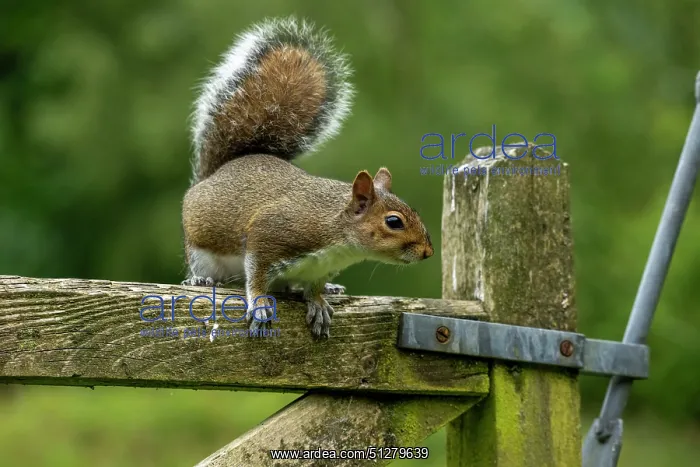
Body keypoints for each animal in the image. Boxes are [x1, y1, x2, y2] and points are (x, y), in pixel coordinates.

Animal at [181, 17, 433, 338]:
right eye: (394, 222)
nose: (427, 251)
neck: (338, 237)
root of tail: (215, 174)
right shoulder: (269, 234)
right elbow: (257, 276)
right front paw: (260, 304)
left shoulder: (318, 268)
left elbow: (314, 287)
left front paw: (318, 302)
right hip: (200, 248)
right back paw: (200, 281)